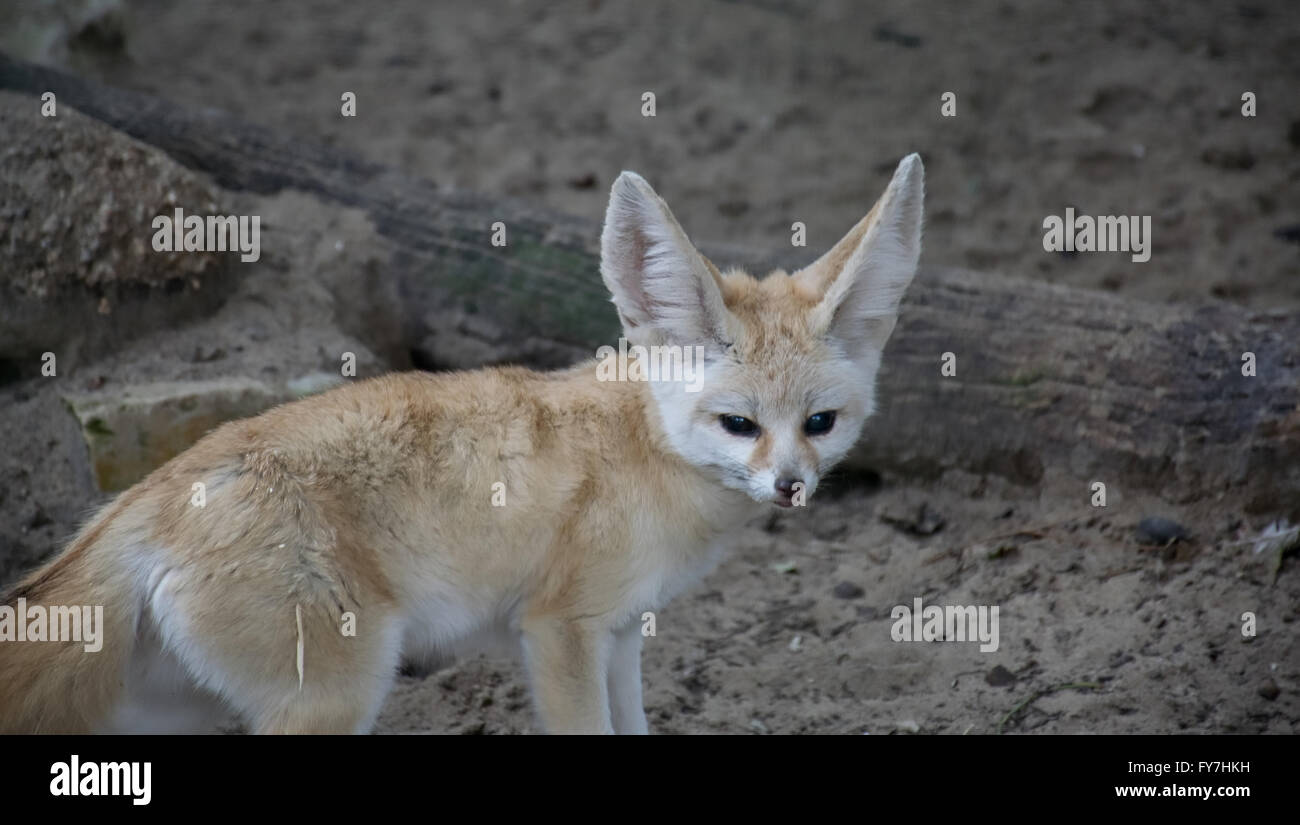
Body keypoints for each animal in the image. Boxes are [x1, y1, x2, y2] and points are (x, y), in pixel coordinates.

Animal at [0, 154, 925, 737]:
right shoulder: (559, 630)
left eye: (819, 424)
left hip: (173, 710)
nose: (792, 486)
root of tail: (148, 493)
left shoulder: (622, 633)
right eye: (739, 425)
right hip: (333, 700)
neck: (645, 448)